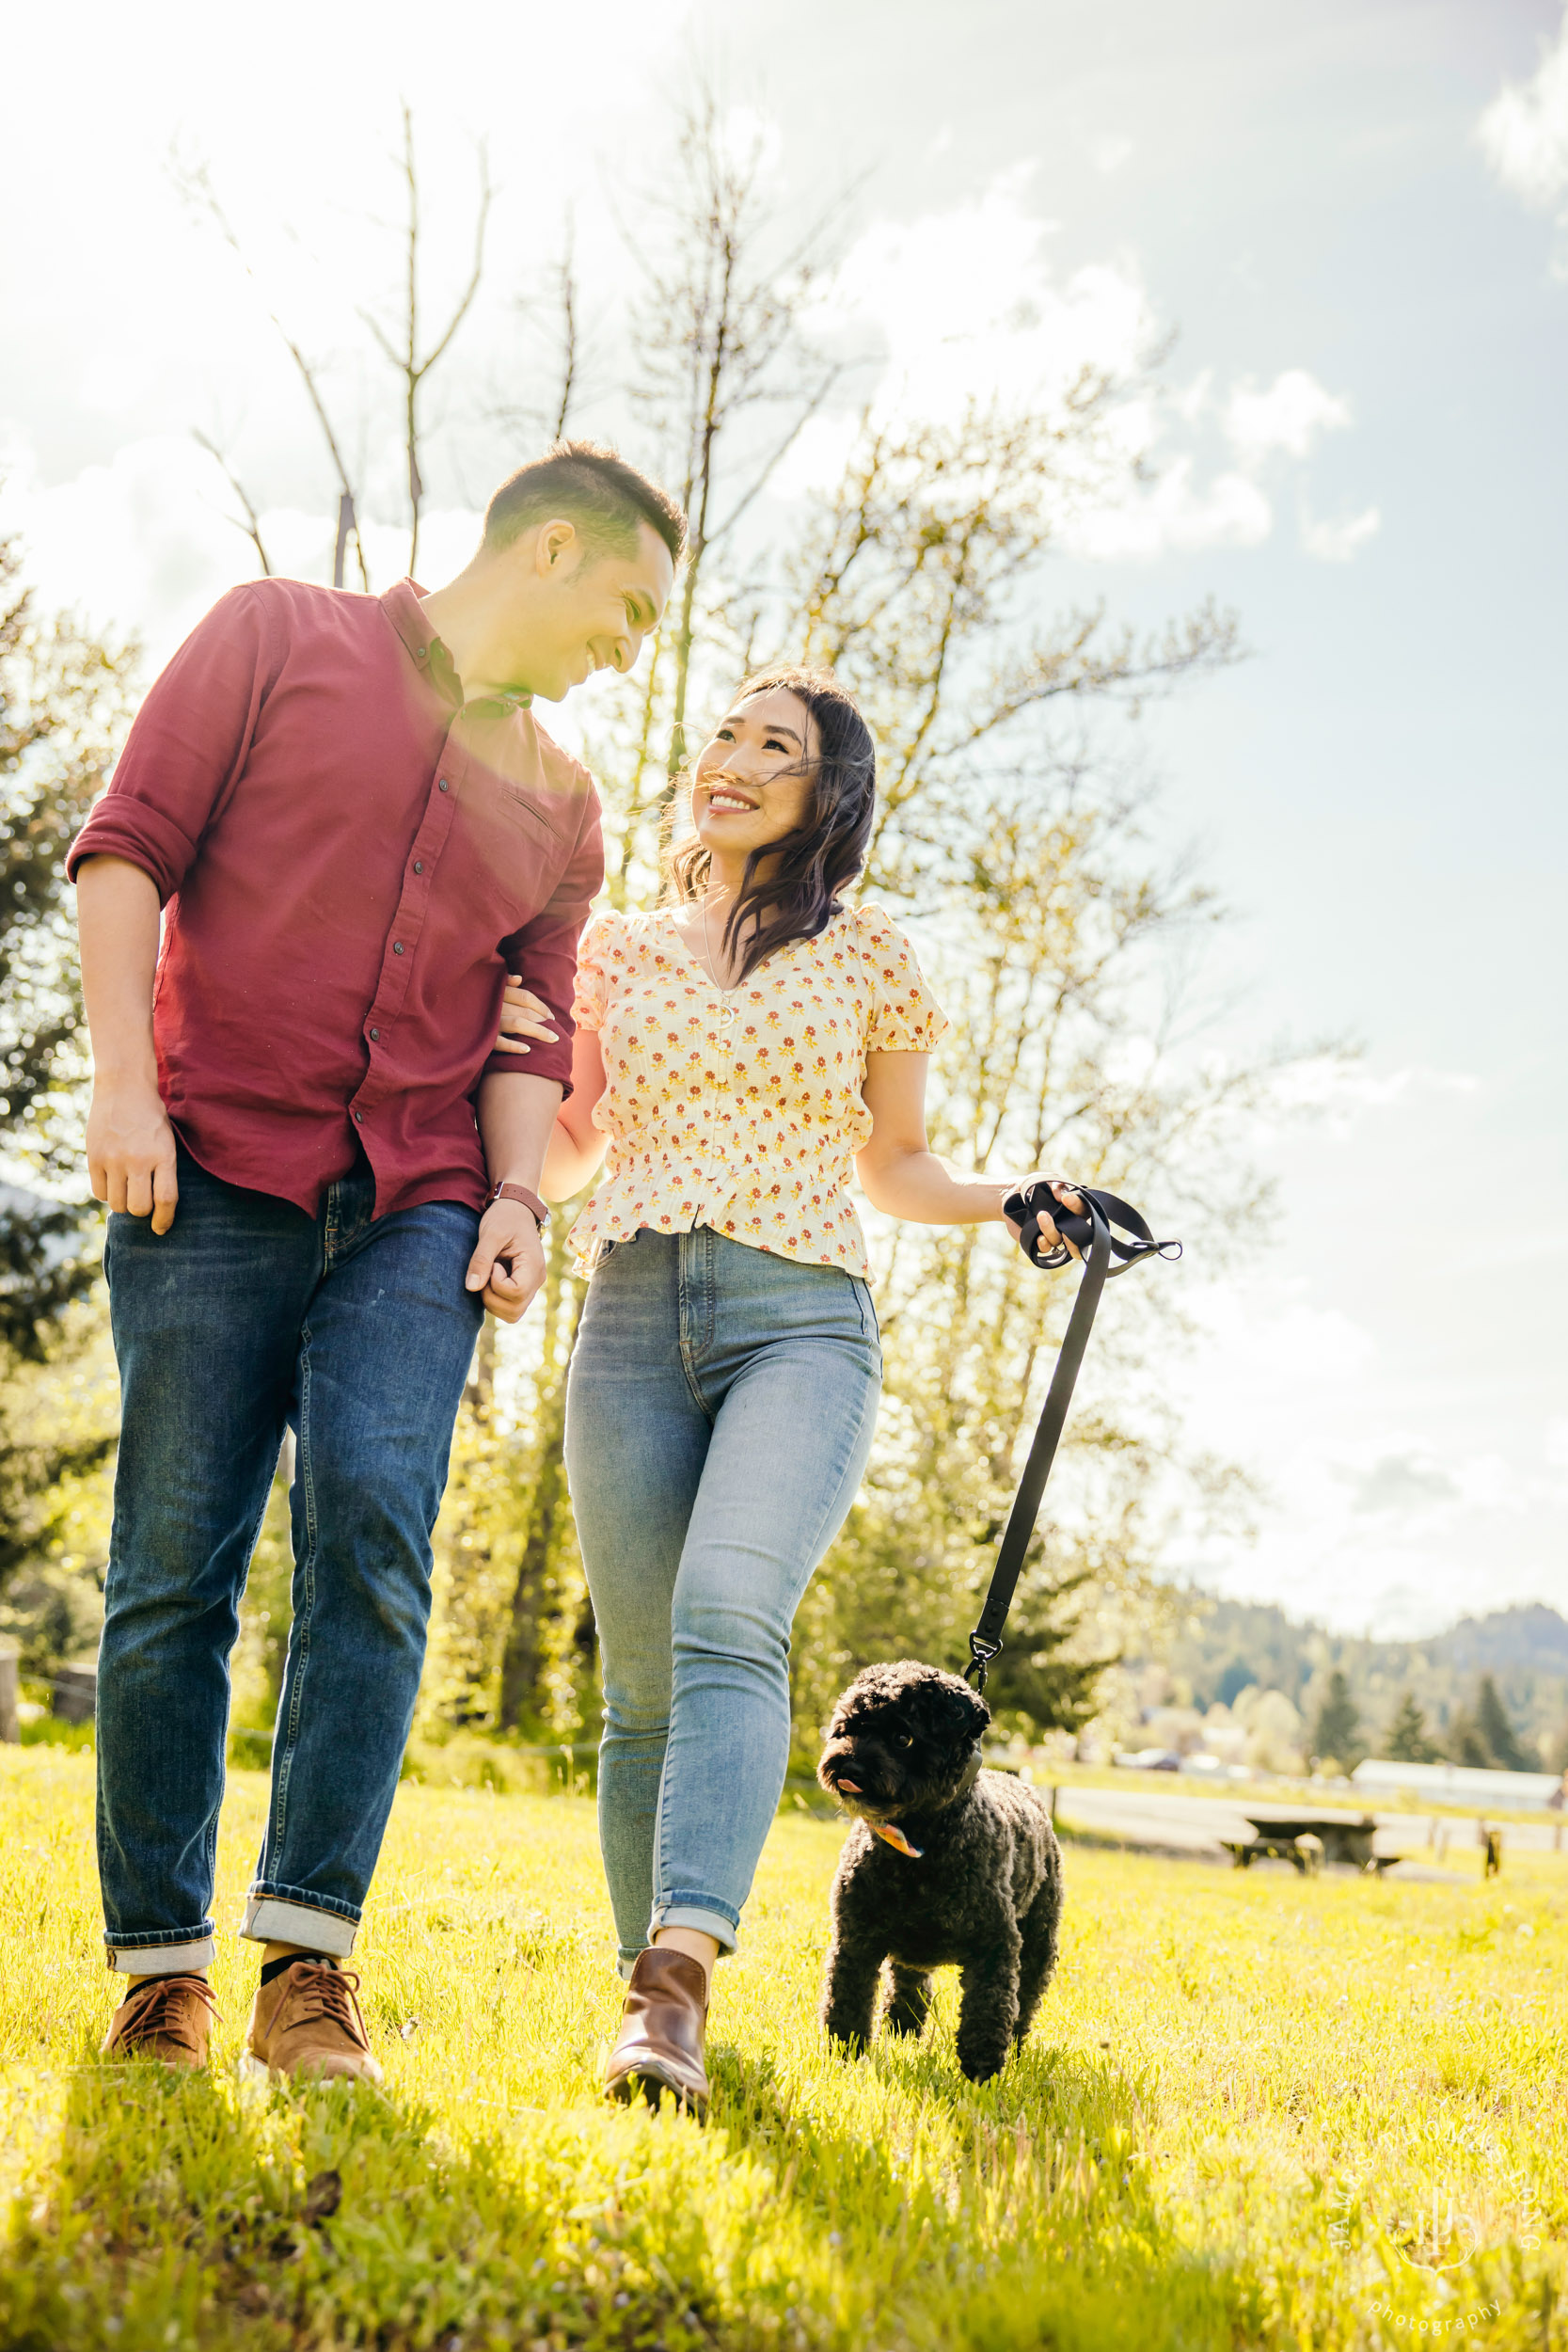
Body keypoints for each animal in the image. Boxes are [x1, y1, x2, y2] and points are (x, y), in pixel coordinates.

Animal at [817, 1656, 1062, 2079]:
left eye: (904, 1738)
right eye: (847, 1727)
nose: (849, 1764)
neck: (915, 1843)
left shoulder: (995, 1945)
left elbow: (989, 2008)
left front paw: (981, 2072)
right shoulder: (855, 1938)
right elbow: (847, 1999)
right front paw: (845, 2055)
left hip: (1037, 1942)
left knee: (1024, 2001)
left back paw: (1014, 2047)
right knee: (908, 1983)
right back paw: (903, 2029)